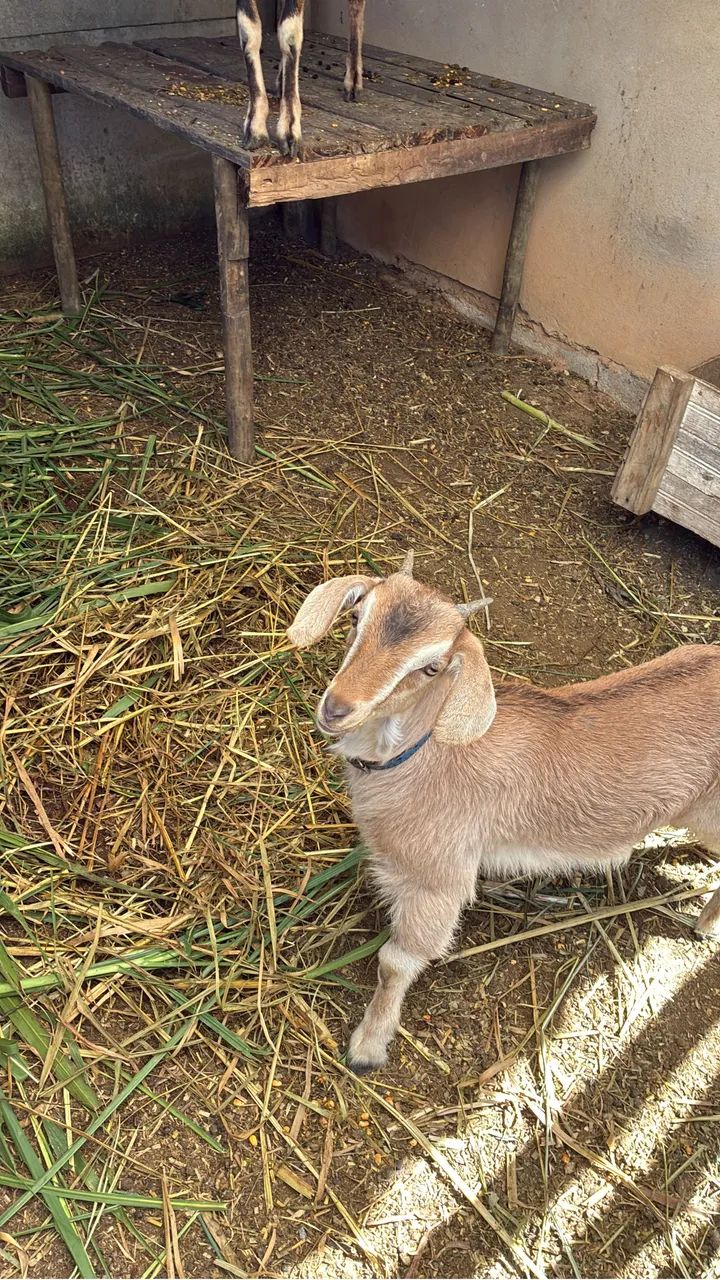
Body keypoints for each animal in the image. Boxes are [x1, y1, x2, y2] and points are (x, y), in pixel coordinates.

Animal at [236, 0, 366, 157]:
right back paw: (281, 82)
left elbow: (290, 34)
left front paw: (289, 131)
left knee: (356, 6)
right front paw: (255, 129)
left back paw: (353, 82)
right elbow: (248, 31)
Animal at [287, 554, 720, 1073]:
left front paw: (368, 1048)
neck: (425, 755)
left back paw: (704, 925)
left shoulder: (440, 881)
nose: (336, 708)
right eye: (355, 618)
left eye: (431, 667)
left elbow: (395, 963)